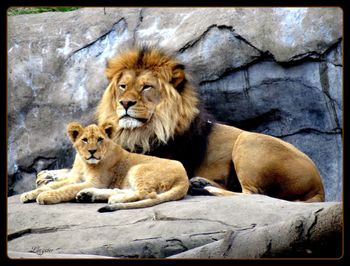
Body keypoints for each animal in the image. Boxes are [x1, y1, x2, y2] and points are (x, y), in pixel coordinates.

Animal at [20, 121, 190, 212]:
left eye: (100, 139)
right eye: (85, 140)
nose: (92, 151)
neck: (85, 163)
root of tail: (184, 178)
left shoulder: (95, 181)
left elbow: (66, 189)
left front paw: (46, 196)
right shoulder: (75, 177)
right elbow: (53, 185)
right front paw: (29, 194)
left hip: (137, 169)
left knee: (148, 194)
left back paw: (112, 199)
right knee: (126, 191)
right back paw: (90, 195)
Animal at [37, 46, 324, 203]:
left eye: (147, 87)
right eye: (123, 86)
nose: (125, 103)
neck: (140, 130)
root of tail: (319, 187)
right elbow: (73, 171)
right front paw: (48, 174)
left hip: (248, 140)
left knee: (255, 195)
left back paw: (205, 188)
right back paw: (199, 183)